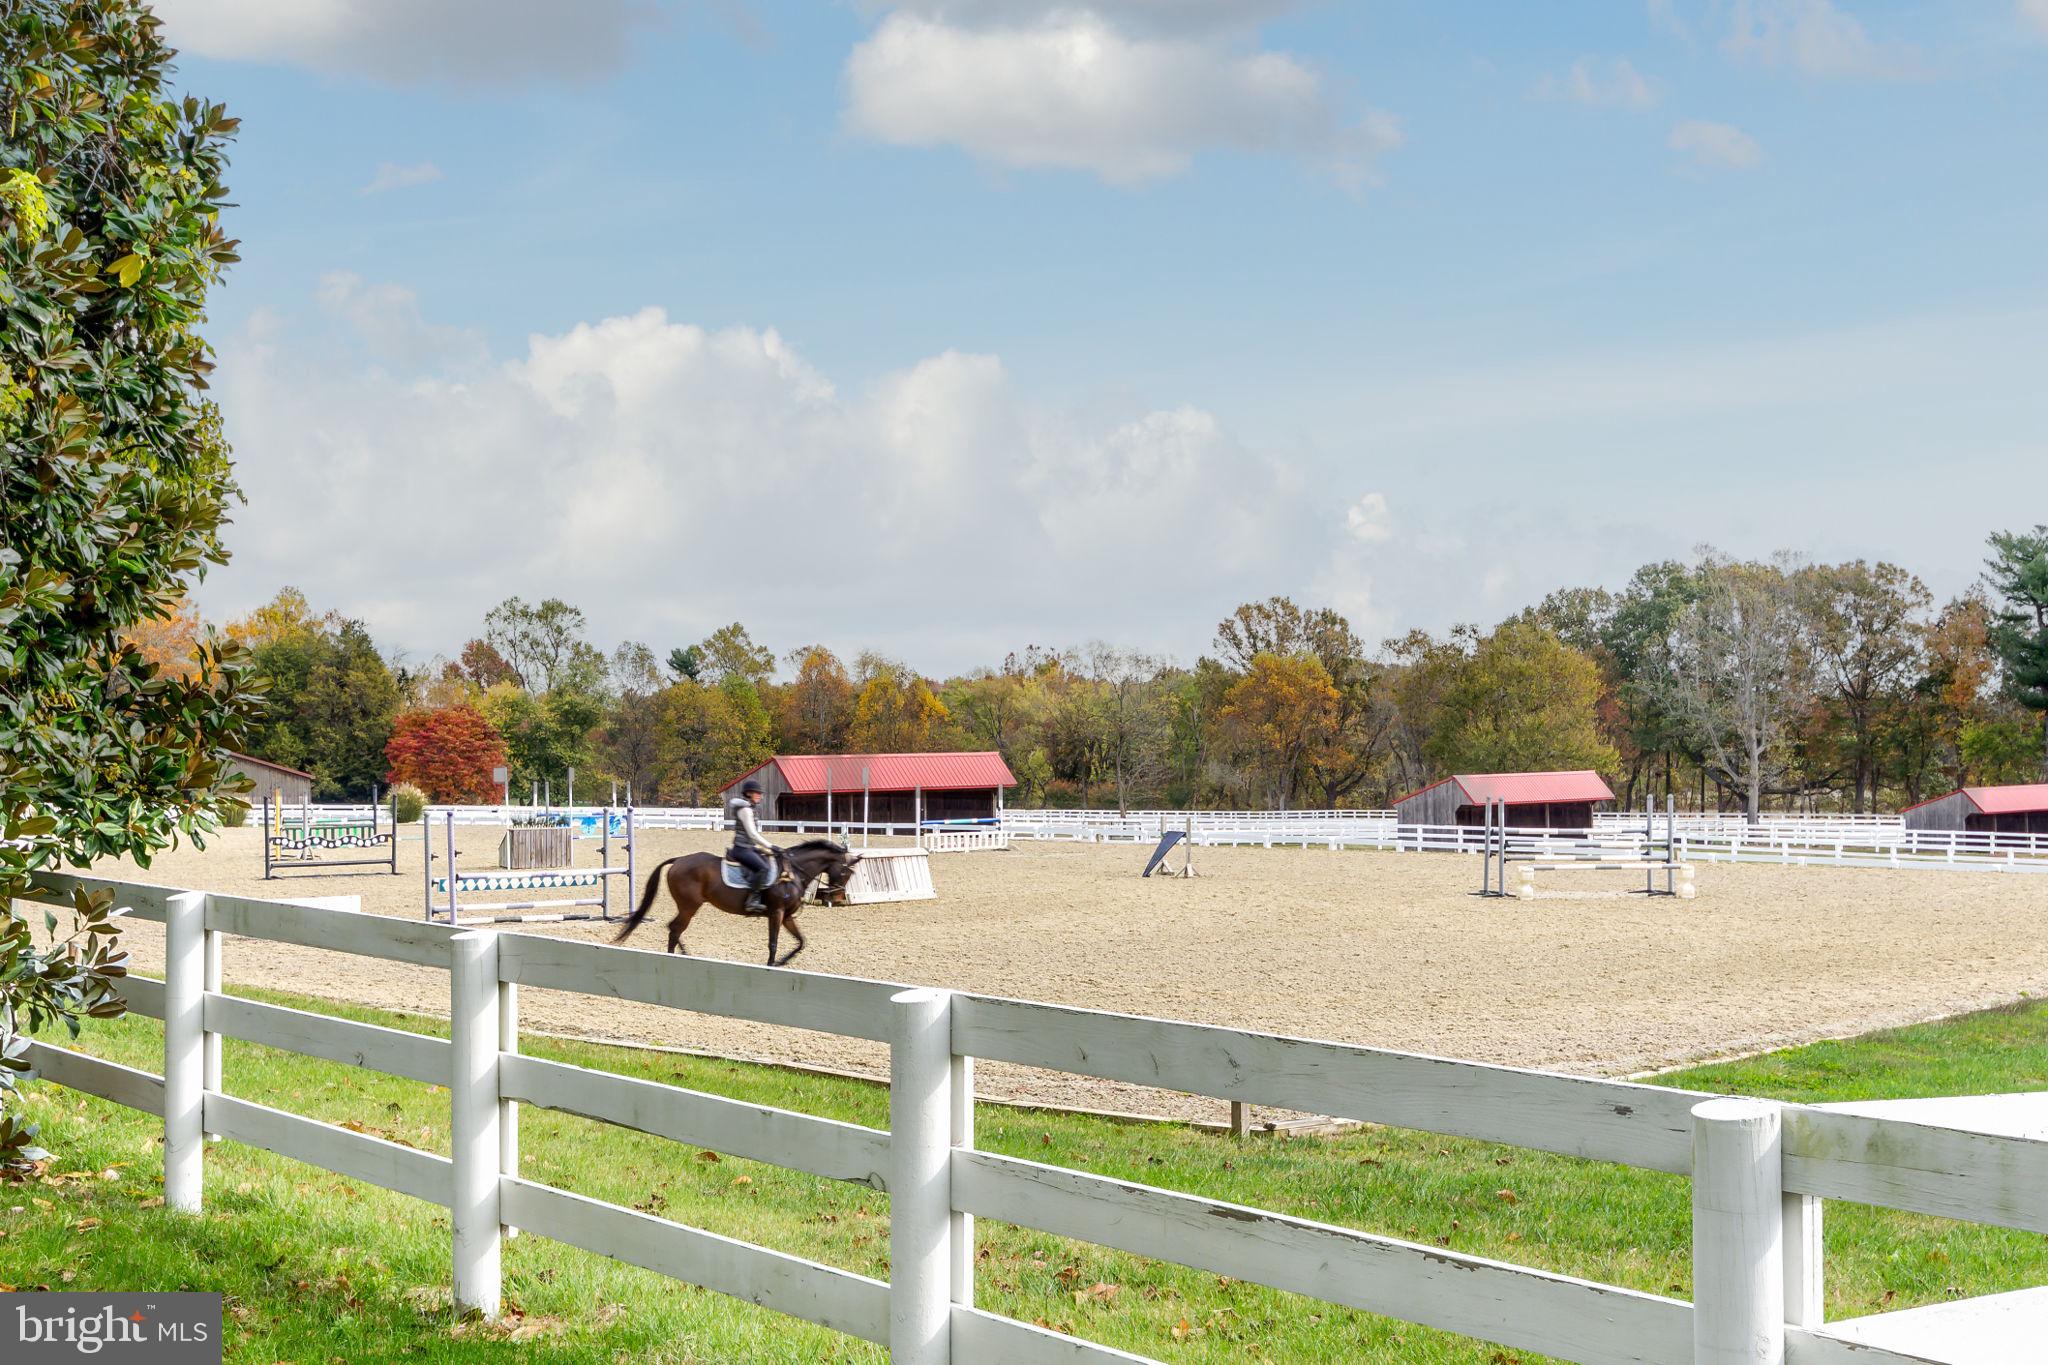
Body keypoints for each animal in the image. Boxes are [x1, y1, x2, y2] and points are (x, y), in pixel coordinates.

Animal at [612, 838, 862, 966]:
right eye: (847, 872)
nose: (836, 896)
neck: (792, 872)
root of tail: (679, 860)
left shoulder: (787, 916)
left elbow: (801, 941)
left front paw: (782, 962)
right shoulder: (776, 913)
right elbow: (773, 943)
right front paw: (772, 964)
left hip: (688, 906)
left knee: (673, 928)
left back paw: (684, 954)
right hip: (689, 906)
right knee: (674, 929)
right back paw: (675, 956)